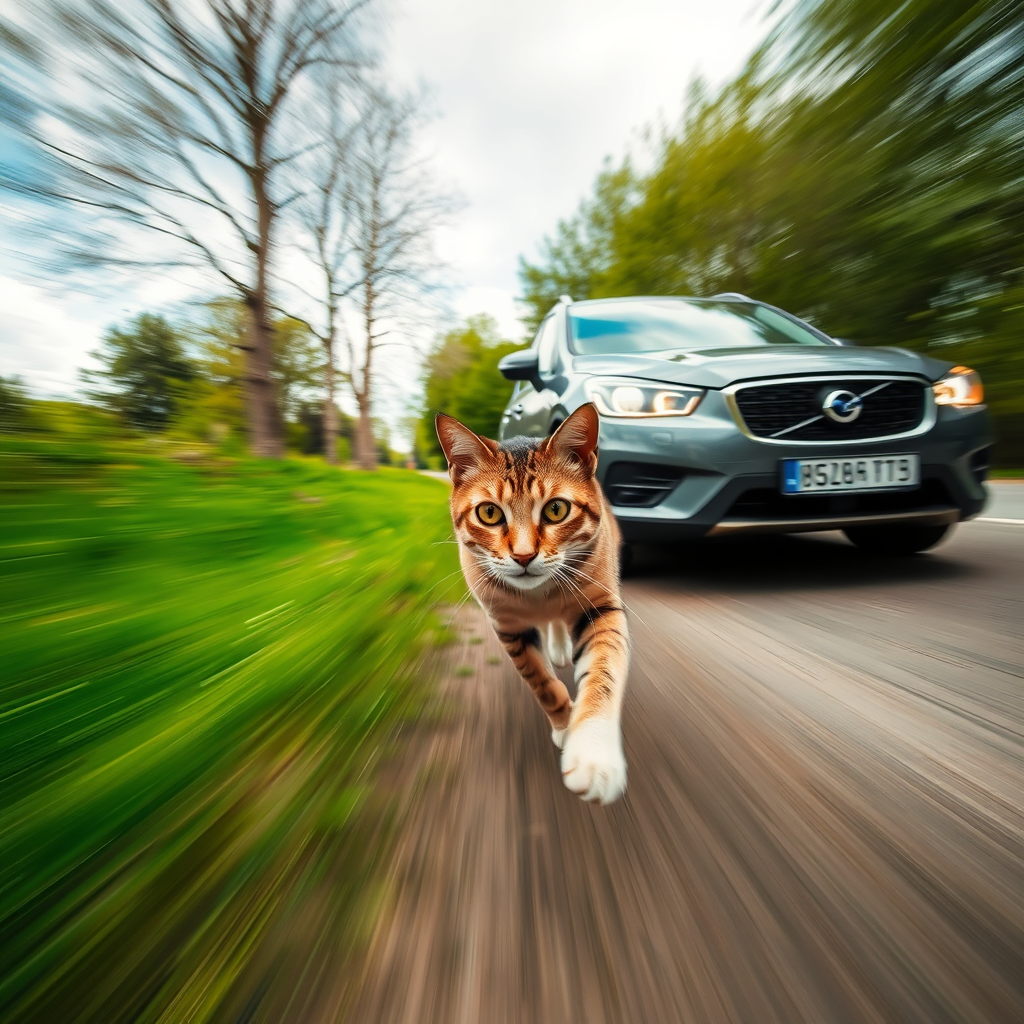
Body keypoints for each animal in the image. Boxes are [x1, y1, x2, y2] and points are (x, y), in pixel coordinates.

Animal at [434, 403, 626, 802]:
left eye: (556, 510)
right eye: (489, 513)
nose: (523, 556)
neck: (541, 594)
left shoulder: (600, 605)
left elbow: (604, 670)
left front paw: (593, 751)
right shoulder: (508, 625)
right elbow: (541, 681)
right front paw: (565, 723)